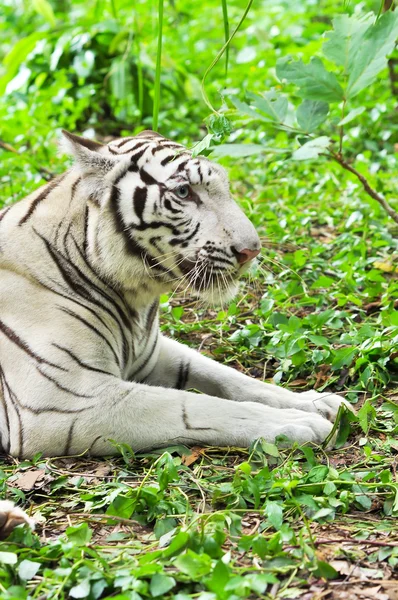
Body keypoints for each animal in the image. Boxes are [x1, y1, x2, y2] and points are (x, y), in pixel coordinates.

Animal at [0, 129, 348, 536]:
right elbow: (195, 406)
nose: (252, 251)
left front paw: (317, 402)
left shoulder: (151, 355)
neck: (131, 299)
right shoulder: (62, 402)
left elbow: (232, 379)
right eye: (184, 192)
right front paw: (295, 423)